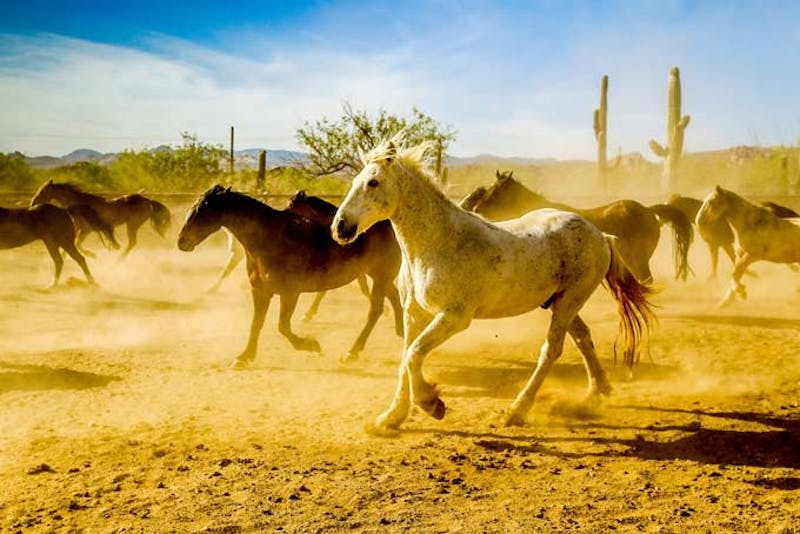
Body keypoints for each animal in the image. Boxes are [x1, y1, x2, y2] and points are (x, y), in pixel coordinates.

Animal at [30, 180, 172, 258]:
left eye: (42, 191)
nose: (32, 202)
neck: (80, 203)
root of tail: (149, 201)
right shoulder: (82, 230)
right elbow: (73, 245)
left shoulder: (85, 230)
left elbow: (77, 244)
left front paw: (92, 255)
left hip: (132, 225)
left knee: (132, 243)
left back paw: (117, 261)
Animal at [178, 185, 403, 366]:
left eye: (201, 211)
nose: (181, 241)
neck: (268, 240)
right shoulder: (259, 291)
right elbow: (256, 324)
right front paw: (244, 357)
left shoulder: (290, 293)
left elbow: (283, 327)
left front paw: (311, 345)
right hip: (378, 274)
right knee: (395, 298)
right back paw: (401, 333)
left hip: (381, 275)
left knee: (375, 310)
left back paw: (352, 352)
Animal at [332, 133, 655, 431]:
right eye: (355, 180)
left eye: (373, 182)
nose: (340, 227)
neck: (437, 244)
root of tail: (600, 234)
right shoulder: (415, 314)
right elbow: (406, 359)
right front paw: (391, 418)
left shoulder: (455, 317)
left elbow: (413, 355)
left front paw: (432, 404)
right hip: (561, 302)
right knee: (583, 338)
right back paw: (597, 393)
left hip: (568, 302)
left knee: (551, 350)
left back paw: (517, 411)